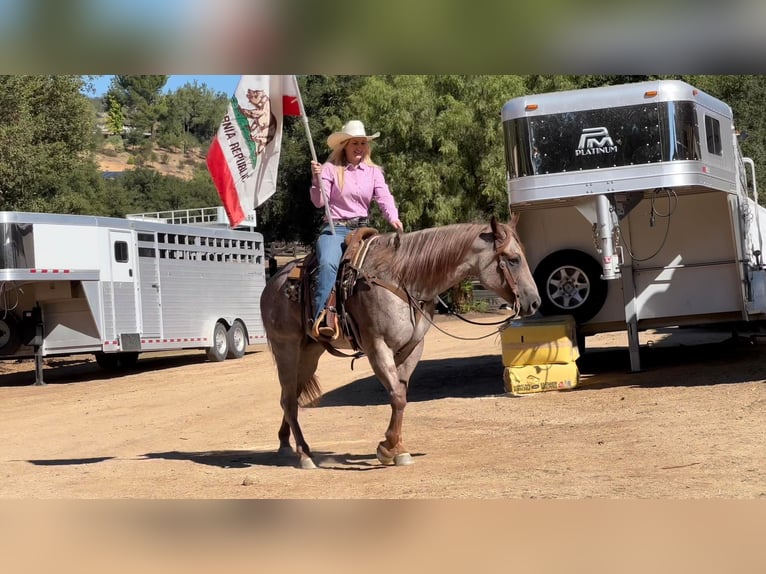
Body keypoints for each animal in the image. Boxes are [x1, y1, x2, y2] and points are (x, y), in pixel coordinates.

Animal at [260, 218, 544, 470]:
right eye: (513, 259)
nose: (534, 302)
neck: (401, 278)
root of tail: (273, 281)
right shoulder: (377, 347)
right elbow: (397, 396)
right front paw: (388, 449)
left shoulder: (412, 348)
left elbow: (401, 394)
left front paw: (396, 448)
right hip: (287, 348)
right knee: (289, 400)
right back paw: (305, 454)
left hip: (310, 353)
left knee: (290, 397)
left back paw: (285, 444)